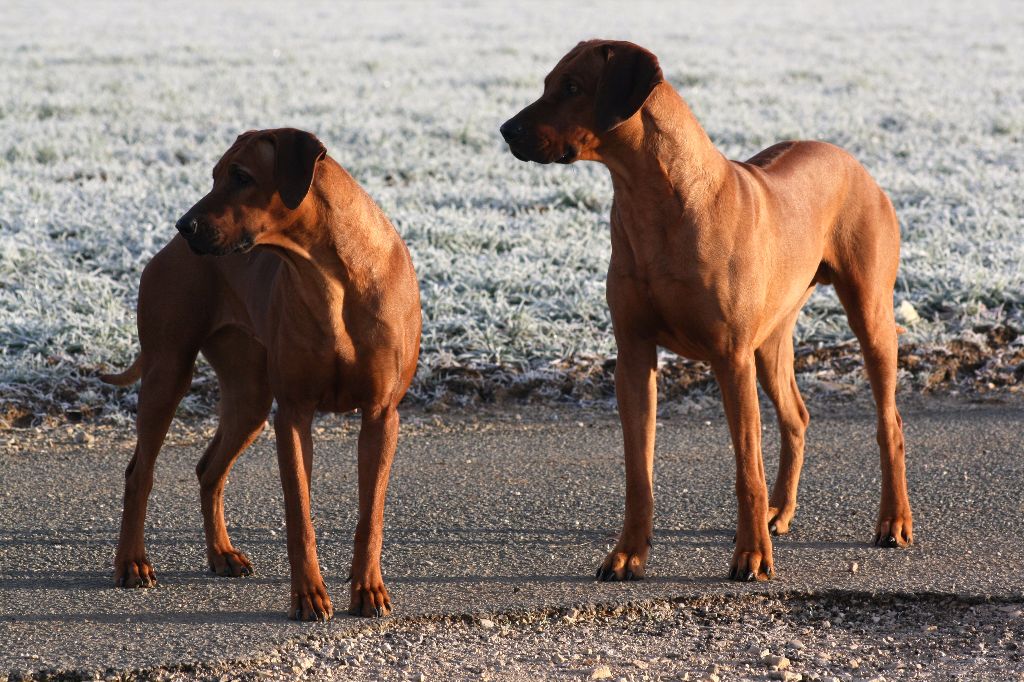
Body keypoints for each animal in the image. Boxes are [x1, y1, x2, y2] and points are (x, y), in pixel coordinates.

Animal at [101, 124, 421, 618]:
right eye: (214, 175)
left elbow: (371, 514)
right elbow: (299, 515)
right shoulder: (293, 414)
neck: (332, 274)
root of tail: (166, 252)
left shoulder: (381, 414)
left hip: (249, 396)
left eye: (241, 176)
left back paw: (221, 554)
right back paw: (132, 563)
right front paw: (308, 595)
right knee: (140, 473)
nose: (184, 225)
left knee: (209, 469)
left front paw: (368, 589)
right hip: (167, 371)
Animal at [501, 39, 913, 577]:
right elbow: (638, 471)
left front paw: (752, 555)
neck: (654, 200)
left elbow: (746, 471)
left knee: (890, 423)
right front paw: (627, 553)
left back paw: (893, 521)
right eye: (548, 83)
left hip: (868, 314)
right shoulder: (633, 355)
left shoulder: (731, 358)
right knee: (796, 417)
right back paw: (781, 511)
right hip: (771, 339)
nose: (506, 130)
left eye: (572, 87)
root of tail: (849, 159)